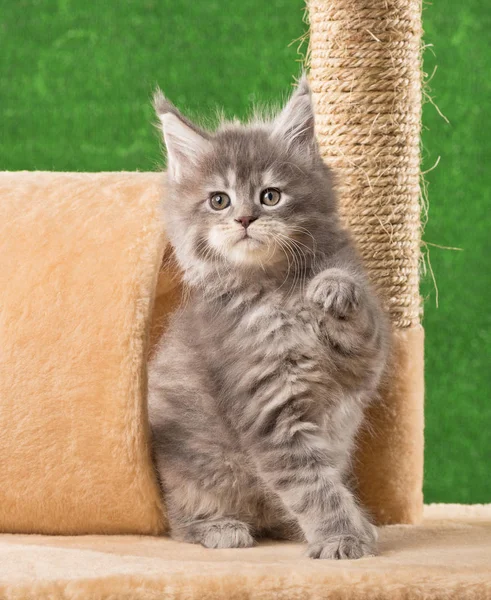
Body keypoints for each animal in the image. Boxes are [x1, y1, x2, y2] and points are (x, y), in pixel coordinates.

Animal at [148, 77, 390, 560]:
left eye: (270, 196)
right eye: (218, 200)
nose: (245, 218)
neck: (275, 291)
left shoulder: (364, 361)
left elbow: (362, 318)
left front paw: (332, 290)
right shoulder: (268, 411)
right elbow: (313, 486)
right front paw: (340, 538)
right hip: (189, 471)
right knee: (180, 522)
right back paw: (221, 529)